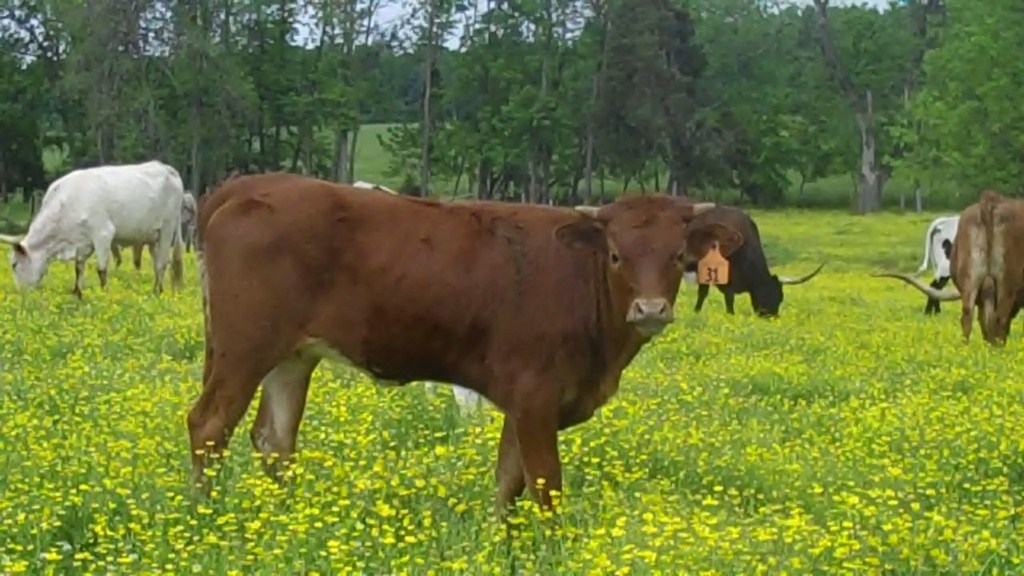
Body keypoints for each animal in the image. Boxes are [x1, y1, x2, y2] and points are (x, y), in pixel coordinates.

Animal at [0, 160, 185, 298]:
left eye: (14, 264)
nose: (21, 294)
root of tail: (167, 169)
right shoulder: (82, 243)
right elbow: (78, 267)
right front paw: (77, 293)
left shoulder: (103, 234)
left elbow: (101, 269)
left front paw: (104, 294)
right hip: (153, 236)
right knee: (156, 263)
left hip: (167, 228)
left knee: (162, 263)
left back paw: (156, 292)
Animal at [186, 172, 744, 515]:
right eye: (615, 255)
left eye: (677, 256)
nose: (650, 310)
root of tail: (248, 184)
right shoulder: (535, 397)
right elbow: (546, 488)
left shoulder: (523, 404)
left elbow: (507, 485)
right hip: (244, 348)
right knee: (209, 426)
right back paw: (206, 516)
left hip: (292, 356)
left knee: (274, 439)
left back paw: (286, 519)